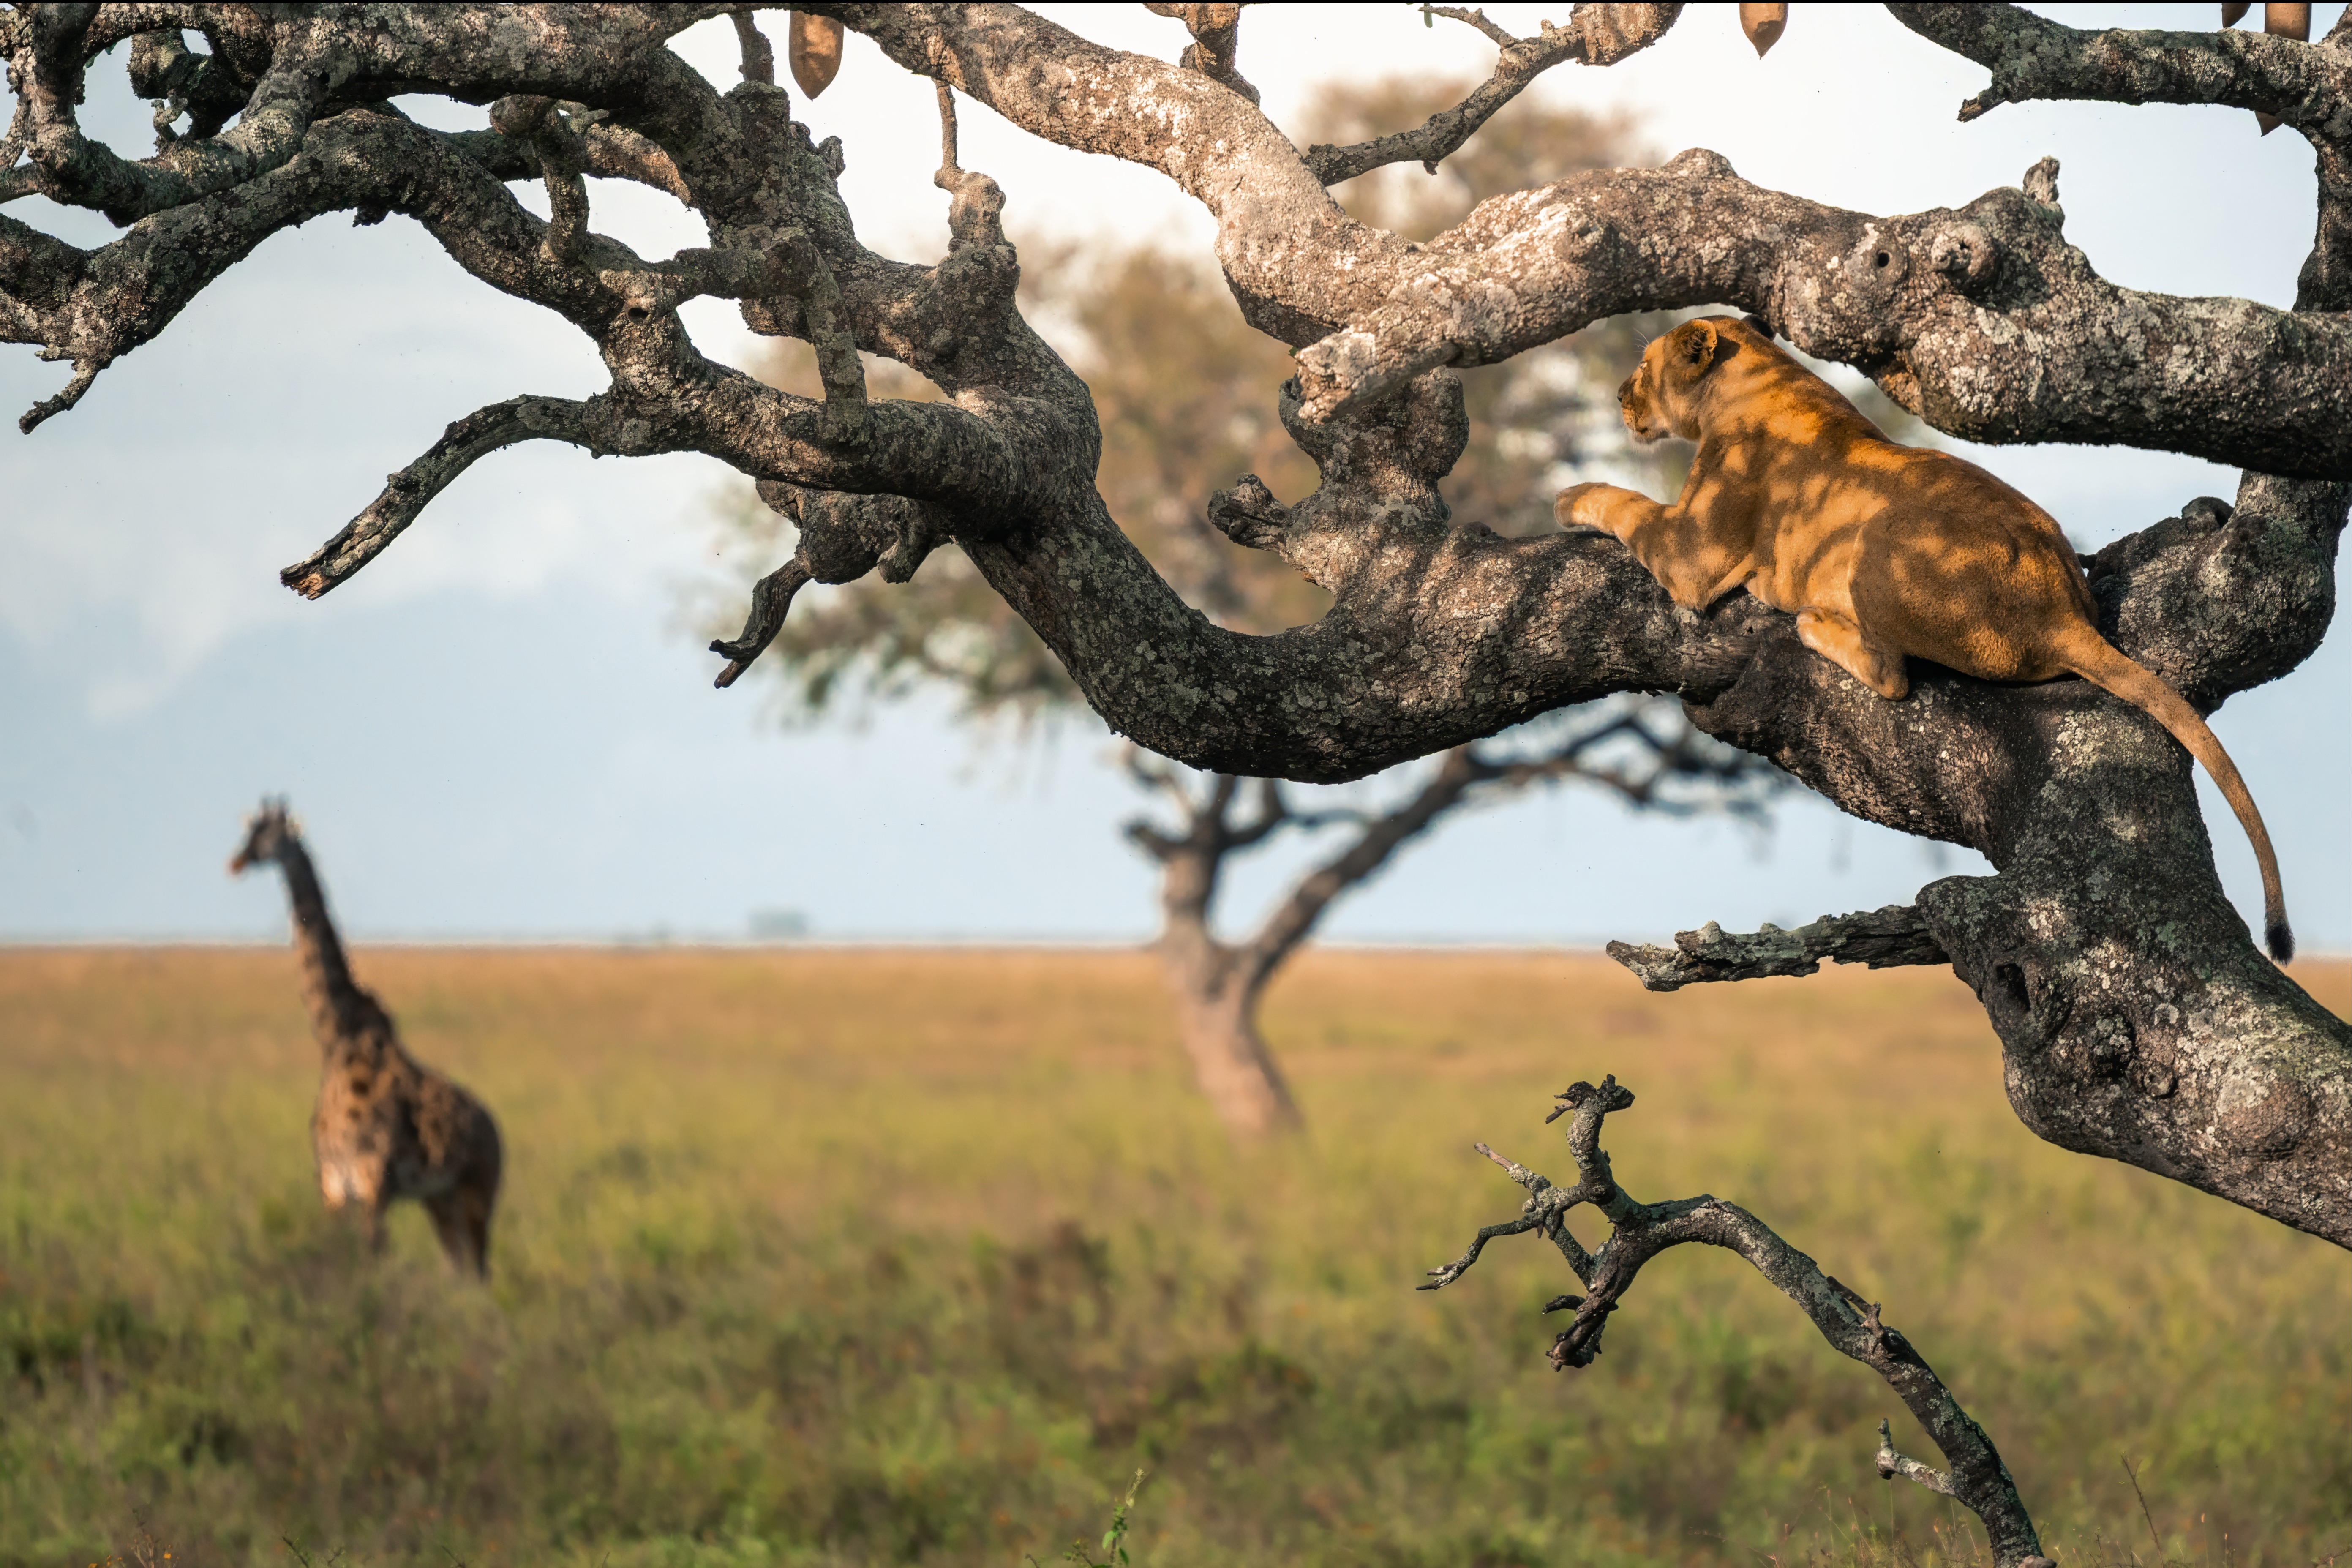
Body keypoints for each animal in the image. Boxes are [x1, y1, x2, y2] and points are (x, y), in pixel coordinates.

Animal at [230, 800, 503, 1277]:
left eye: (272, 837)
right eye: (249, 831)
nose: (237, 861)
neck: (336, 1038)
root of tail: (497, 1132)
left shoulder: (374, 1182)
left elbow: (373, 1262)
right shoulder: (334, 1187)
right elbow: (347, 1260)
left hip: (477, 1192)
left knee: (481, 1273)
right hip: (440, 1198)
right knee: (461, 1272)